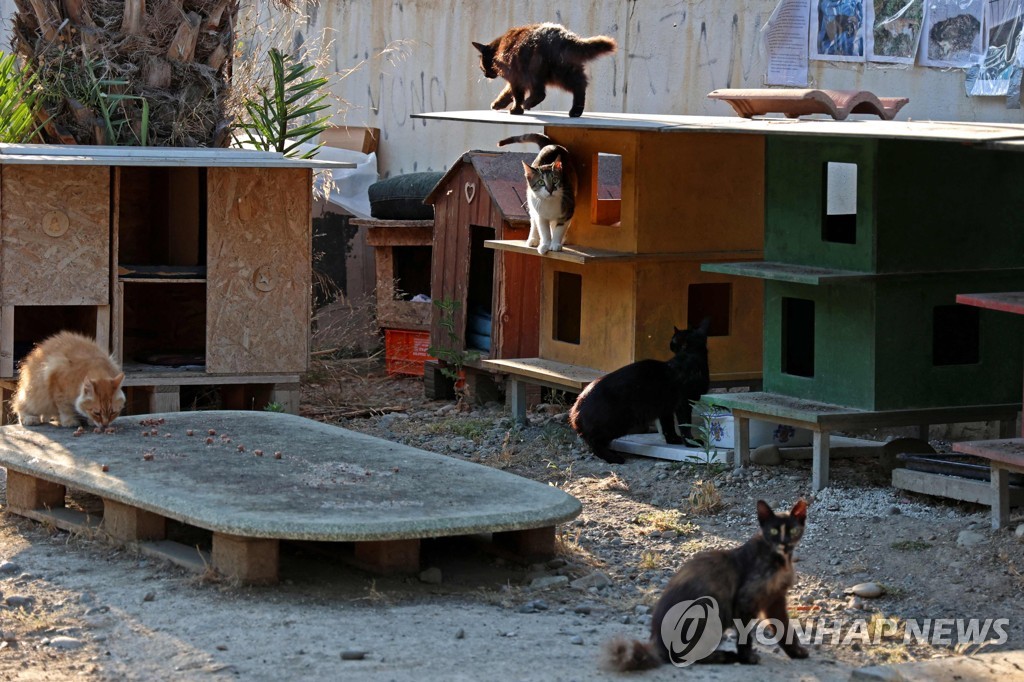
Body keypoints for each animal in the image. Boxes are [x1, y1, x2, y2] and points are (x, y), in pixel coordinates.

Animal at [471, 22, 614, 116]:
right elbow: (507, 92)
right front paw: (498, 104)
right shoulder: (515, 80)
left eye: (481, 67)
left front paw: (516, 110)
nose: (485, 75)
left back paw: (527, 104)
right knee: (580, 86)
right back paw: (576, 111)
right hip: (566, 71)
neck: (498, 49)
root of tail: (563, 37)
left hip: (535, 72)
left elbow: (516, 95)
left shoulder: (516, 77)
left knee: (540, 93)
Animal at [569, 319, 712, 462]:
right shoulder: (685, 402)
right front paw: (691, 443)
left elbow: (668, 425)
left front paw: (673, 440)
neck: (691, 355)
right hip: (618, 423)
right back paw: (613, 458)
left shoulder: (665, 407)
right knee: (593, 441)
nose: (670, 344)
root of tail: (576, 408)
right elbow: (686, 425)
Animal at [602, 497, 811, 667]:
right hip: (708, 615)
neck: (779, 560)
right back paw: (726, 656)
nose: (784, 542)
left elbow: (785, 629)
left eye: (793, 530)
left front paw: (796, 652)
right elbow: (745, 636)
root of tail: (657, 642)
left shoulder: (775, 600)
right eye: (774, 530)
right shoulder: (745, 601)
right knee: (682, 656)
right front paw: (747, 658)